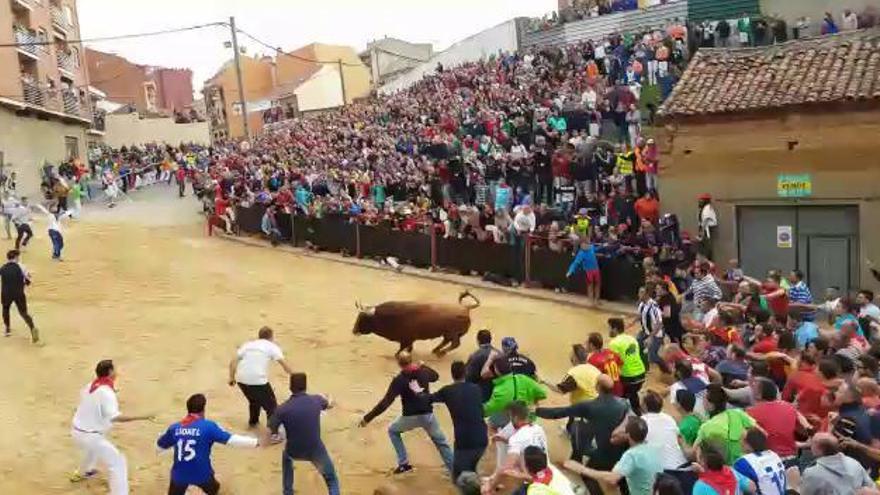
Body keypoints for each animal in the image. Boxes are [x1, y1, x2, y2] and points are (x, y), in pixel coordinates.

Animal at [352, 290, 482, 356]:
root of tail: (466, 308)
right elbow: (408, 347)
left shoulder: (407, 338)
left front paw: (398, 355)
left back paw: (441, 352)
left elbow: (403, 348)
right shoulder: (408, 339)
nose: (354, 331)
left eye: (363, 318)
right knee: (446, 341)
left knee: (455, 343)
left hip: (453, 333)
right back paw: (436, 350)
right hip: (447, 333)